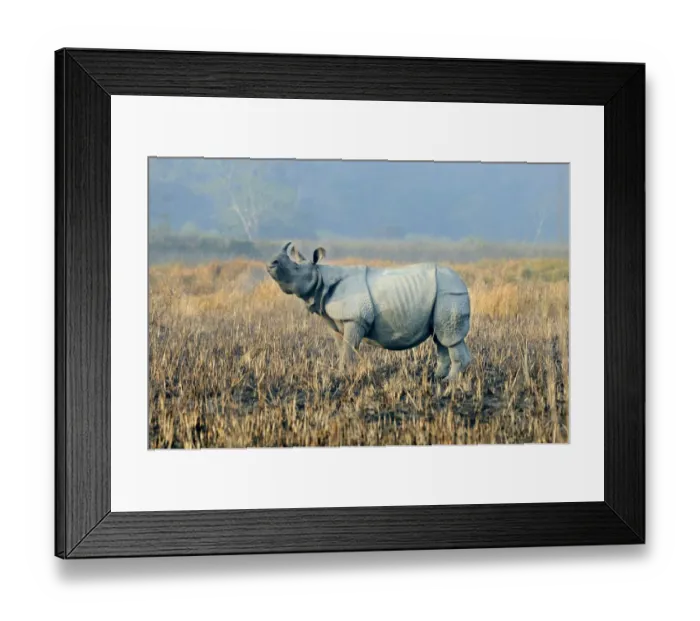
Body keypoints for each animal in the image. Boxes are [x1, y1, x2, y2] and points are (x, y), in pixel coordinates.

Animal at [265, 242, 472, 381]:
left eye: (296, 267)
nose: (271, 263)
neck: (321, 278)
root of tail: (462, 282)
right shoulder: (337, 321)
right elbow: (342, 347)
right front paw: (342, 372)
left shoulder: (354, 318)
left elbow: (349, 347)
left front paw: (342, 375)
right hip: (444, 294)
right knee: (441, 337)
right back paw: (438, 378)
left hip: (450, 294)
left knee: (448, 337)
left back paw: (448, 382)